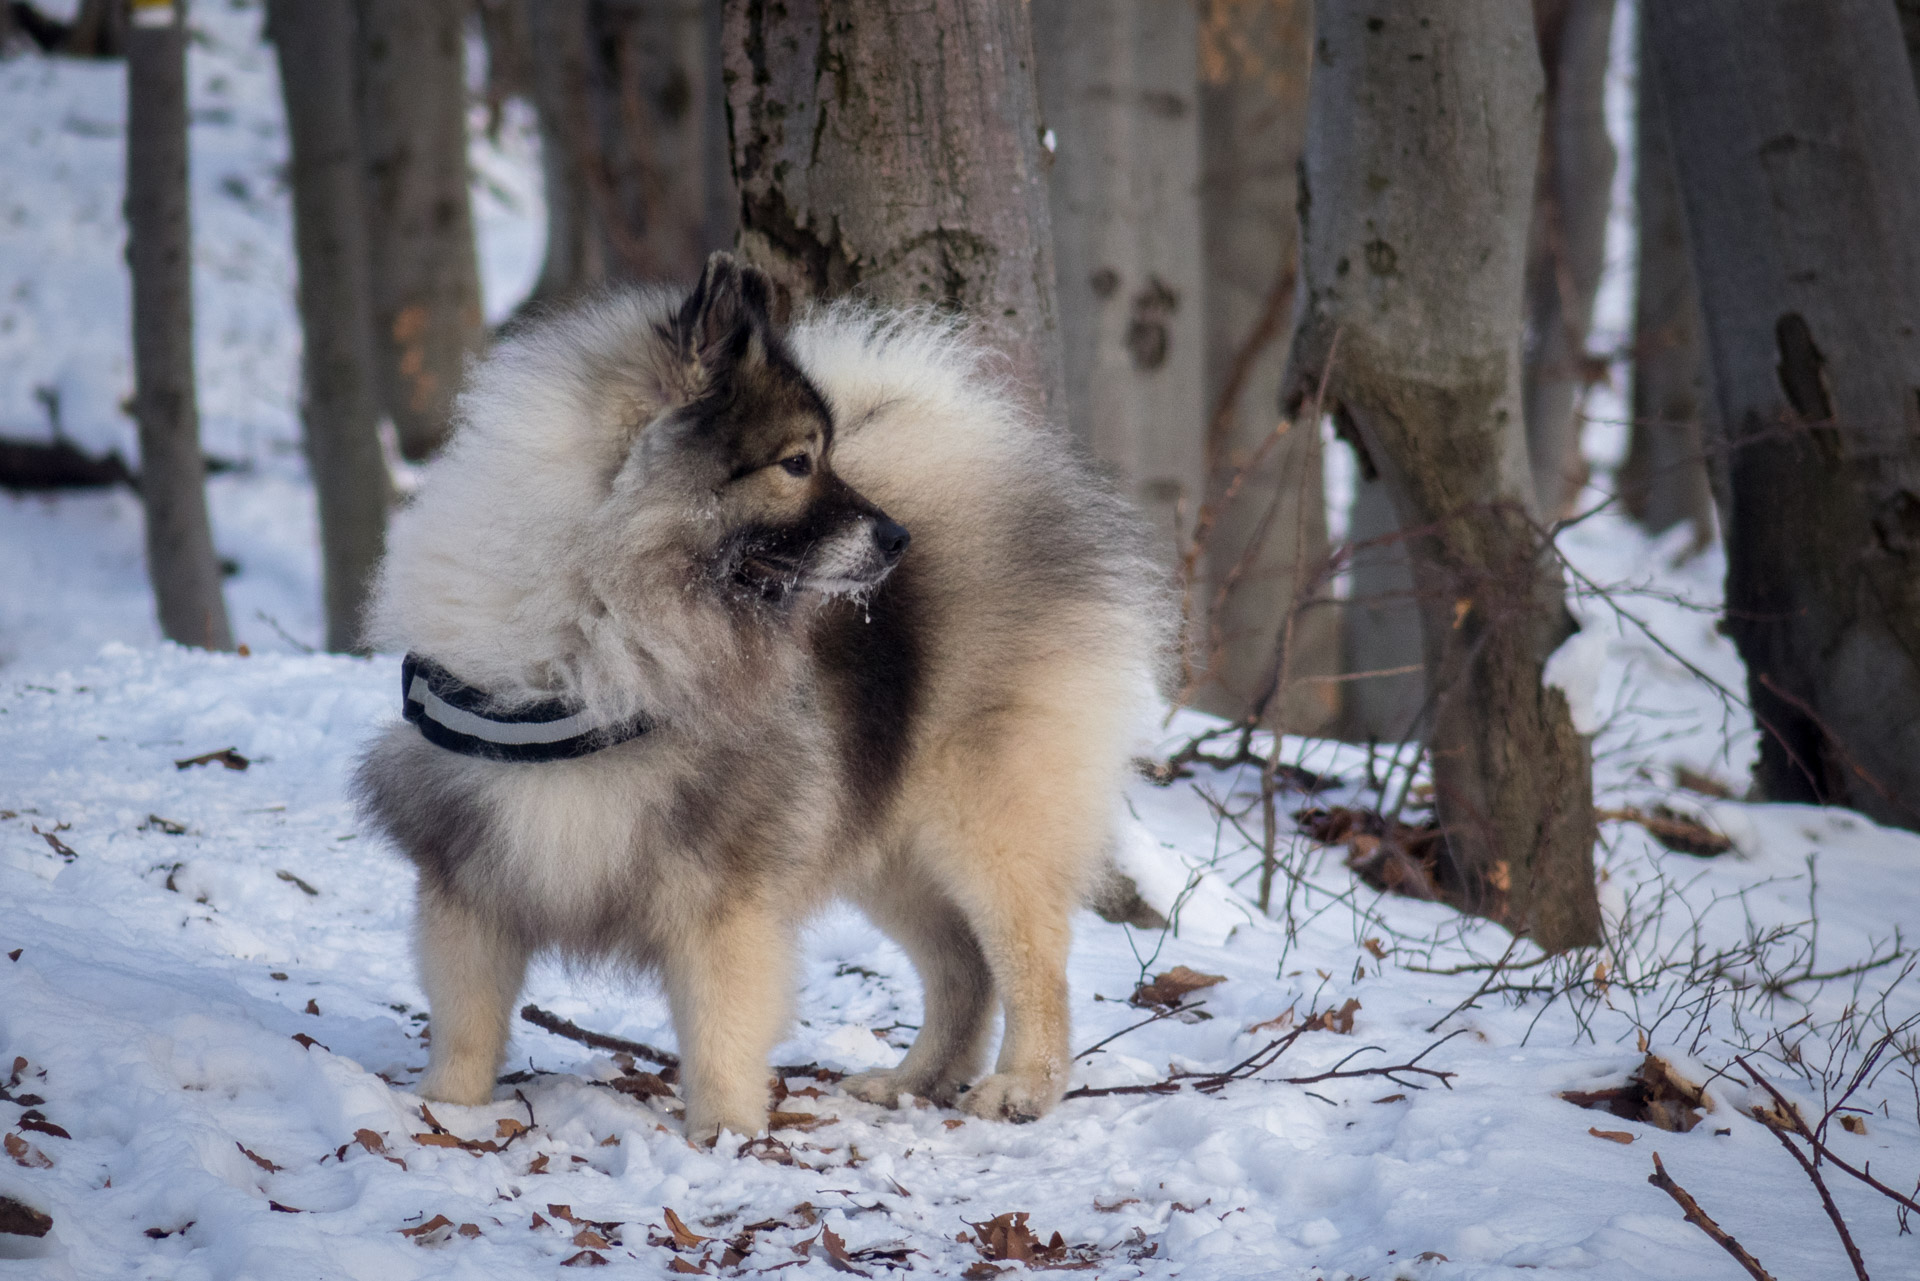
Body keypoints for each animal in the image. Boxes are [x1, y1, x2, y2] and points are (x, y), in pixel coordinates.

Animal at [360, 249, 1167, 1144]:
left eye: (821, 454)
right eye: (797, 462)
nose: (897, 538)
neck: (593, 625)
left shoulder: (722, 884)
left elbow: (720, 1027)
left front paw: (725, 1137)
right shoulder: (470, 869)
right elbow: (465, 1019)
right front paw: (447, 1115)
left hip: (984, 826)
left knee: (1032, 962)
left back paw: (1023, 1085)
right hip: (889, 841)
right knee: (962, 971)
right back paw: (910, 1081)